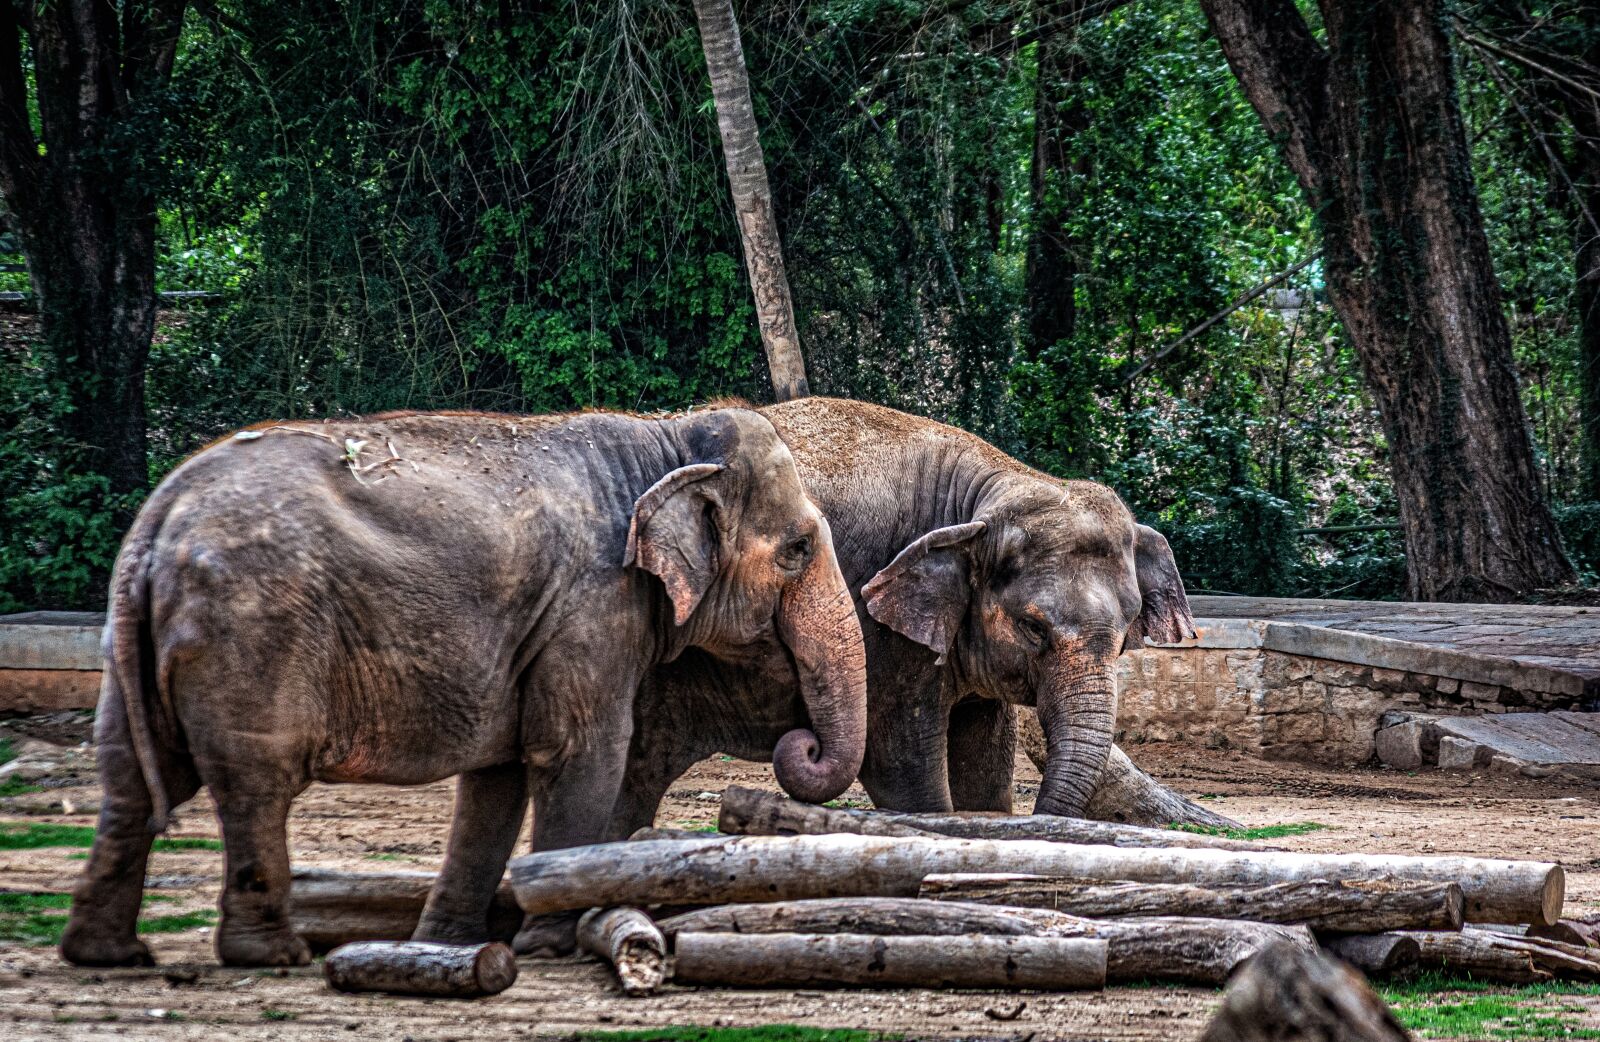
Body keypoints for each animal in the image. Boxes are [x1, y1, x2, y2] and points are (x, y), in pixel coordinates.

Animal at [59, 406, 866, 968]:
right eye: (798, 549)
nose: (800, 741)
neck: (665, 436)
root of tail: (157, 521)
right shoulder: (593, 603)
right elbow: (581, 753)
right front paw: (555, 943)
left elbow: (497, 775)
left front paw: (447, 943)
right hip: (251, 635)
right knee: (255, 781)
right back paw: (272, 955)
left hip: (136, 649)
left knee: (129, 778)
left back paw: (110, 955)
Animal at [608, 396, 1196, 846]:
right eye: (1034, 628)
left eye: (1125, 635)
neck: (988, 490)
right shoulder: (878, 632)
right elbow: (901, 765)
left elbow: (984, 761)